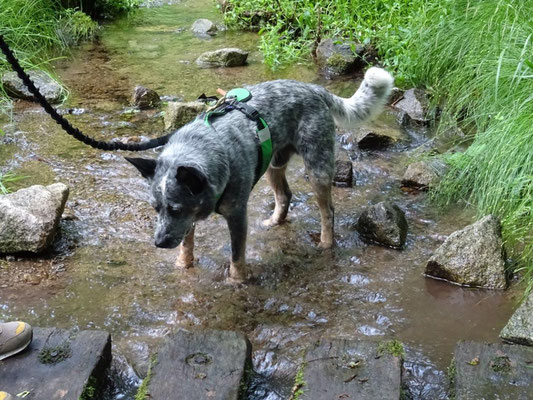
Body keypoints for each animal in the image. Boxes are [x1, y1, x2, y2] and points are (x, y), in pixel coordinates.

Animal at [123, 67, 390, 282]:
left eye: (175, 209)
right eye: (156, 208)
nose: (158, 243)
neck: (210, 148)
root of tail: (314, 89)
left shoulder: (236, 216)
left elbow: (236, 256)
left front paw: (237, 281)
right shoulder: (190, 218)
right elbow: (186, 244)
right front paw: (182, 265)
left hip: (317, 168)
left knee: (328, 211)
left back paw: (325, 243)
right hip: (273, 164)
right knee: (285, 195)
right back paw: (274, 221)